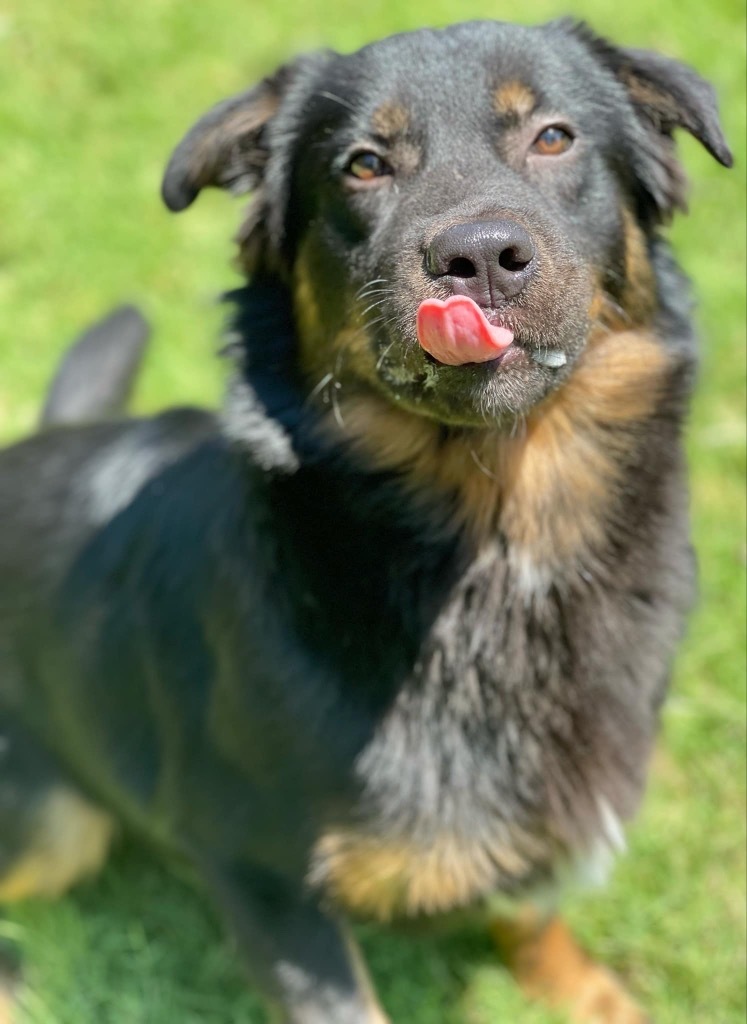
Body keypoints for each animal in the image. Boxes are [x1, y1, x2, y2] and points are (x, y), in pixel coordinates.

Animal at [0, 18, 729, 1024]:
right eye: (363, 165)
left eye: (553, 137)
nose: (478, 256)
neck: (493, 544)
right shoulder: (262, 872)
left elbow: (534, 906)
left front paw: (586, 994)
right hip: (51, 826)